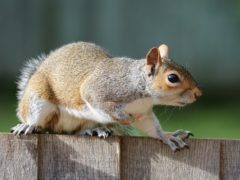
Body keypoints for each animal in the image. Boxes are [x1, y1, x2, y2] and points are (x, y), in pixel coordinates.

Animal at [12, 41, 202, 150]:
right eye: (172, 78)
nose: (198, 94)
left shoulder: (143, 112)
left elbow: (152, 128)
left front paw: (168, 137)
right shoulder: (97, 90)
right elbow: (101, 103)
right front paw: (125, 118)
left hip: (83, 121)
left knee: (77, 131)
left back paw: (94, 129)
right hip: (38, 99)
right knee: (37, 120)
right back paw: (28, 126)